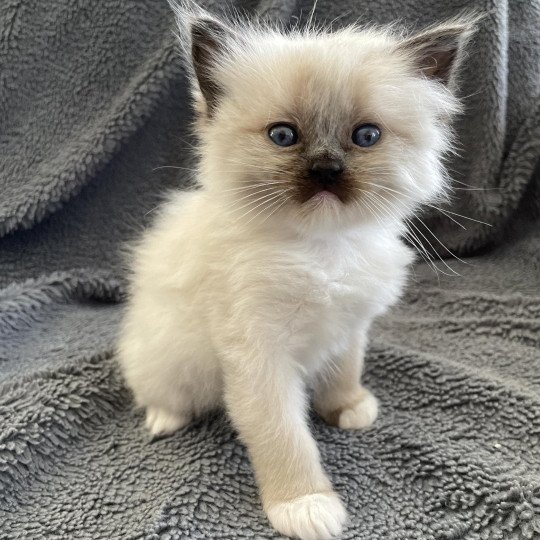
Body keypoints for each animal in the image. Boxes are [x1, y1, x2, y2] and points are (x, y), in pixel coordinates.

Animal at [118, 8, 472, 540]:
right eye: (283, 136)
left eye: (366, 136)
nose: (326, 170)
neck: (321, 250)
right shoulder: (260, 359)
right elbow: (285, 438)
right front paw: (305, 506)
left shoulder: (349, 326)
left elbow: (345, 371)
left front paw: (348, 408)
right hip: (169, 358)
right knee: (159, 391)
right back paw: (165, 420)